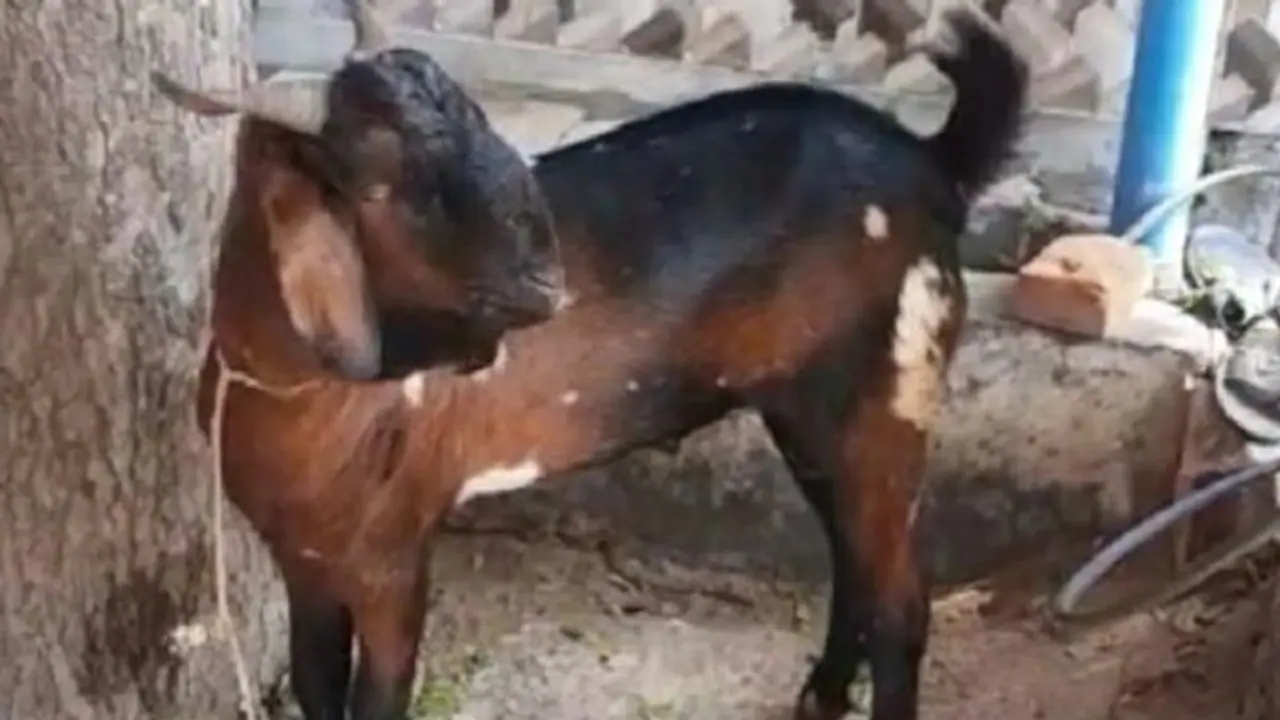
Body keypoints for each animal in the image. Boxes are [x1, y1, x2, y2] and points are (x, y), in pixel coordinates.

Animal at [156, 4, 1028, 719]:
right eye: (372, 185)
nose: (545, 280)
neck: (293, 393)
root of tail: (933, 162)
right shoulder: (303, 562)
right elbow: (313, 687)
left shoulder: (393, 558)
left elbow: (377, 699)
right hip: (809, 410)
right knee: (856, 559)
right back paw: (819, 697)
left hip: (888, 393)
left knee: (901, 601)